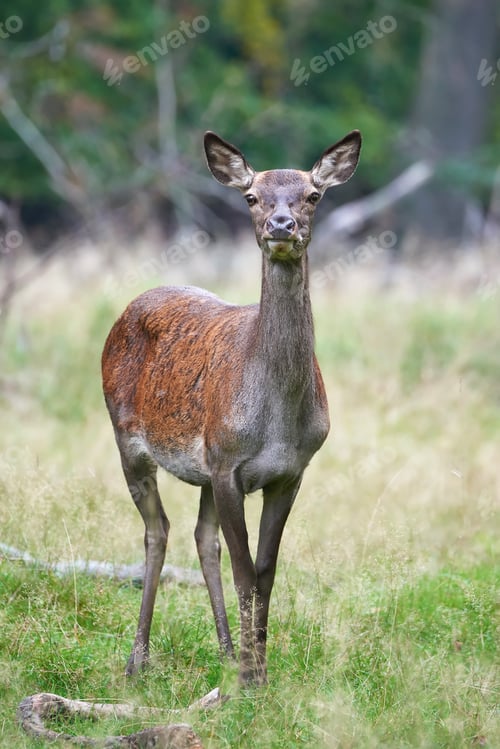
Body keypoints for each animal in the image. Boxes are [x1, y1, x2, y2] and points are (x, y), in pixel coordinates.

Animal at [101, 129, 362, 686]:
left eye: (313, 195)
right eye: (251, 197)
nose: (281, 225)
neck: (279, 421)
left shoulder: (289, 472)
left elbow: (264, 572)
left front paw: (257, 668)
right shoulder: (228, 466)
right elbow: (245, 572)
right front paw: (249, 678)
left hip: (204, 466)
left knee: (203, 538)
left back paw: (222, 650)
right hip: (128, 437)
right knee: (157, 532)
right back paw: (138, 659)